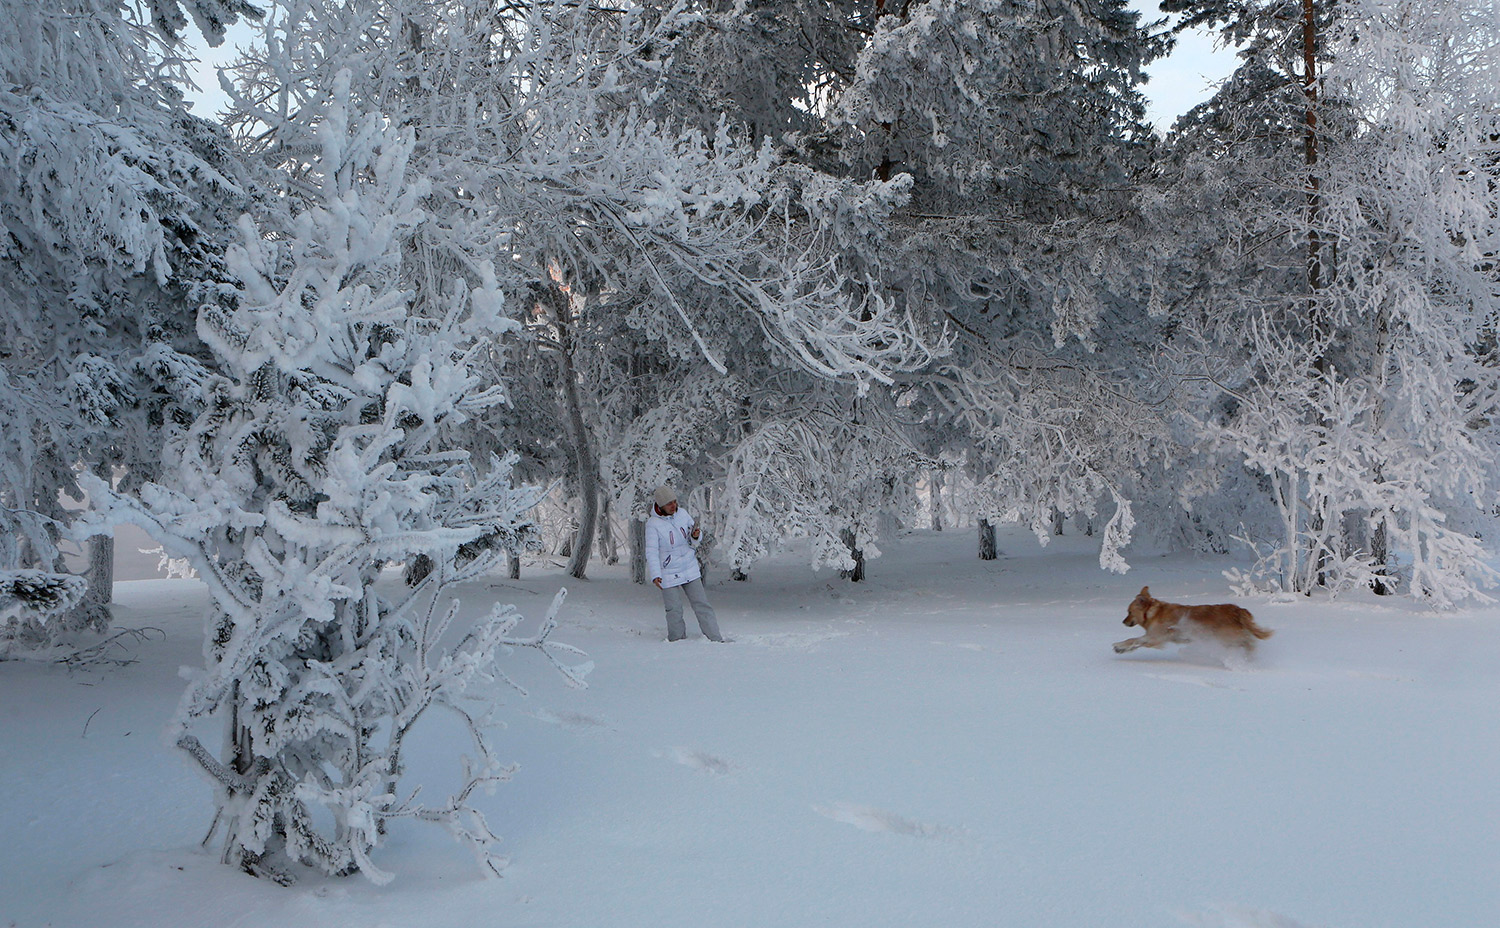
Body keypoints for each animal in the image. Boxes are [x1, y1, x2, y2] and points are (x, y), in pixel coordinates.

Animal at [1110, 587, 1272, 653]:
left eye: (1129, 612)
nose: (1123, 621)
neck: (1153, 613)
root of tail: (1238, 610)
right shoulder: (1153, 637)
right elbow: (1135, 642)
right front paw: (1122, 649)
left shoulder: (1155, 637)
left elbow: (1133, 640)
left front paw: (1120, 646)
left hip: (1227, 638)